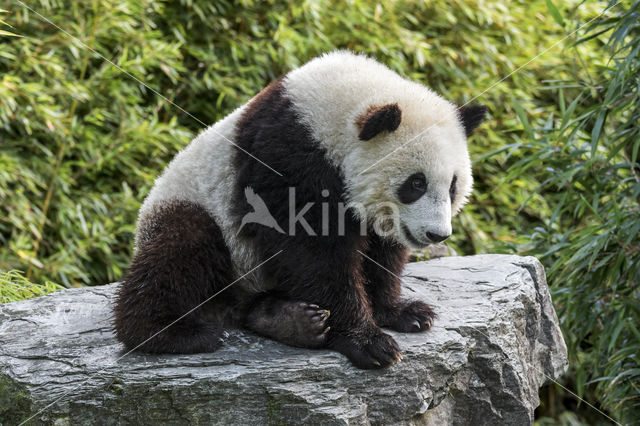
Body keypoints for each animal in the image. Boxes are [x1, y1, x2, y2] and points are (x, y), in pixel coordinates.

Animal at [114, 50, 484, 370]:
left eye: (453, 185)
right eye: (416, 183)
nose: (436, 234)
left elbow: (380, 253)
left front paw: (405, 312)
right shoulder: (288, 159)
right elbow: (314, 254)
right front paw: (370, 343)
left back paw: (289, 321)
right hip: (197, 214)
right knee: (180, 250)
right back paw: (174, 333)